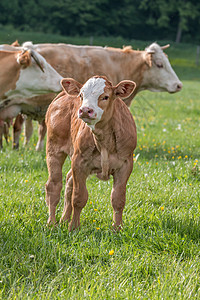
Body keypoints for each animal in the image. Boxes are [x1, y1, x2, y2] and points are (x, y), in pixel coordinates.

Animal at [44, 76, 137, 231]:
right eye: (81, 95)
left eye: (105, 97)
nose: (85, 110)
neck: (105, 141)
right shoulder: (79, 162)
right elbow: (79, 197)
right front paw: (74, 227)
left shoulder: (125, 164)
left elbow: (118, 199)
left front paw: (117, 228)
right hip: (54, 149)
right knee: (54, 185)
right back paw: (52, 222)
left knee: (69, 182)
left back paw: (64, 219)